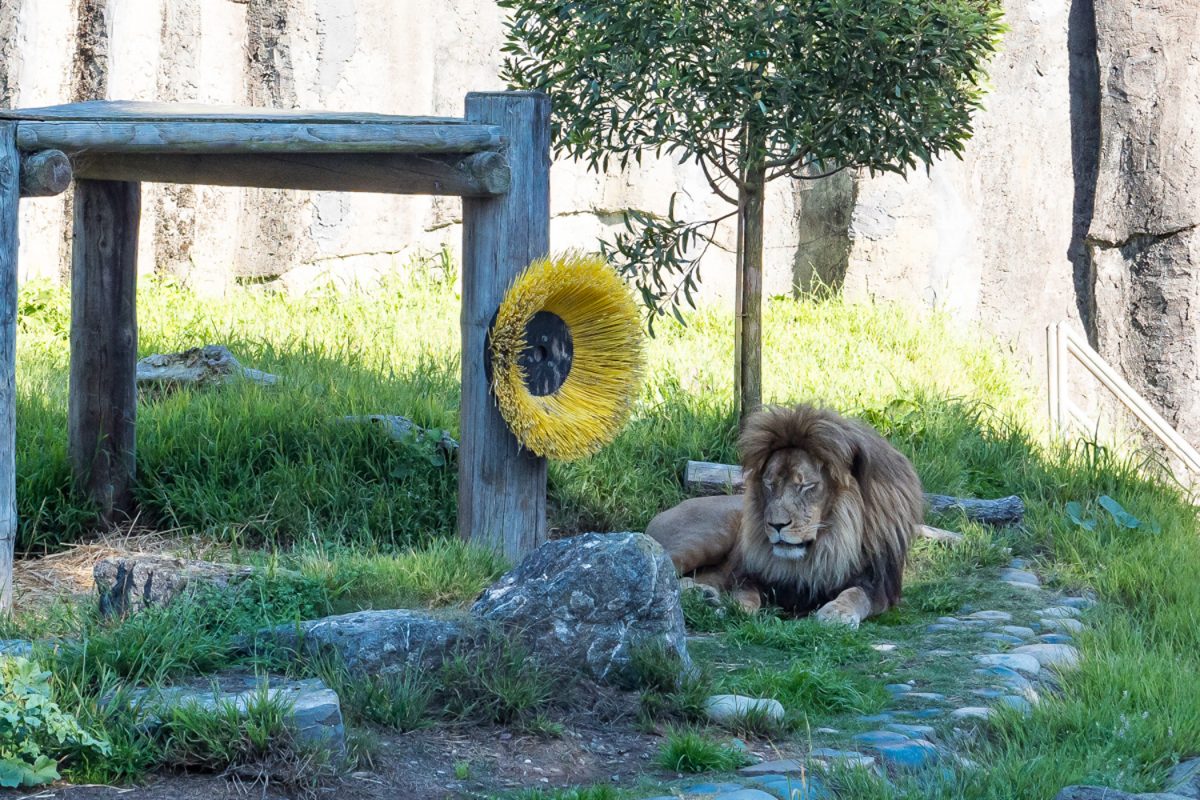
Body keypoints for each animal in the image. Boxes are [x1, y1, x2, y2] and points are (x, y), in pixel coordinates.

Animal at [648, 402, 916, 628]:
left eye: (805, 485)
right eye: (769, 484)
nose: (776, 525)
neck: (828, 545)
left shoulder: (878, 586)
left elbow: (856, 594)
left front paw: (837, 612)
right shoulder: (753, 576)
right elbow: (746, 593)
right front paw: (735, 607)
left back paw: (705, 594)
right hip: (708, 537)